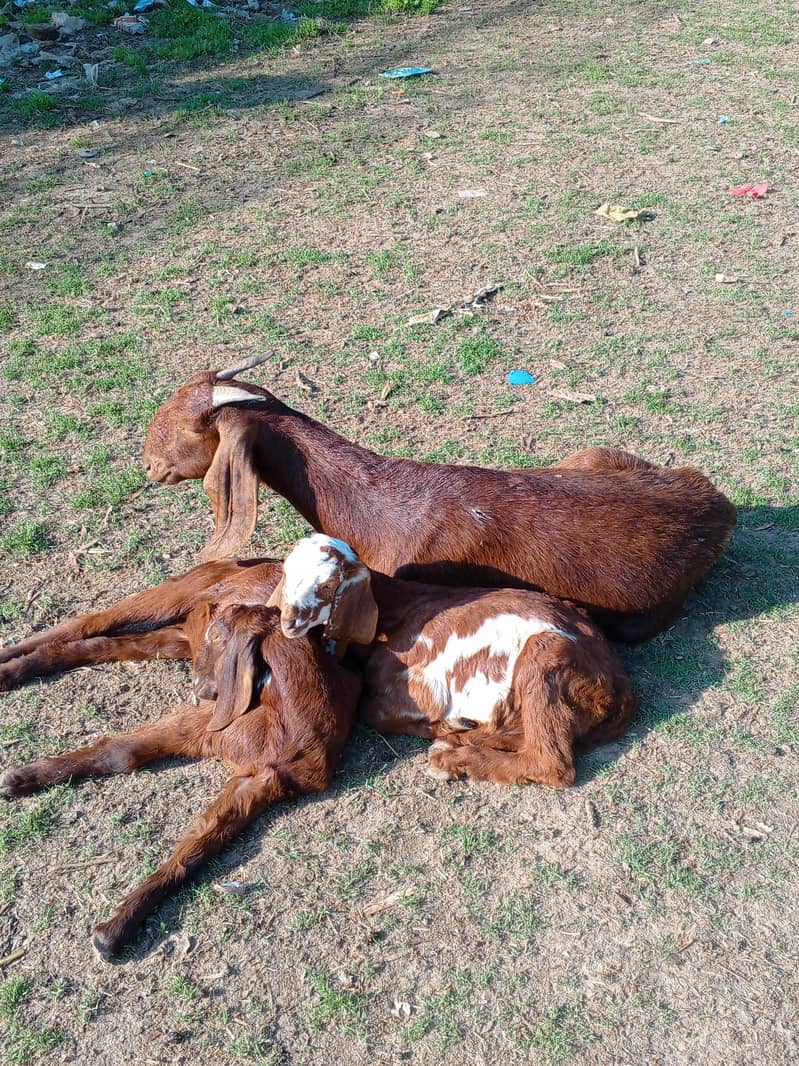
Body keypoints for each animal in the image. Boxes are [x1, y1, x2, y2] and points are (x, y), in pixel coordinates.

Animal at [0, 598, 361, 958]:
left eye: (217, 635)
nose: (198, 685)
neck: (285, 722)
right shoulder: (204, 725)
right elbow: (121, 753)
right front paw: (19, 778)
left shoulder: (261, 781)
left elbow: (198, 846)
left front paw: (116, 928)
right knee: (94, 624)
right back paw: (12, 669)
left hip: (177, 639)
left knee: (120, 643)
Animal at [269, 534, 638, 788]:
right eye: (287, 573)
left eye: (329, 586)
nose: (289, 619)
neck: (392, 611)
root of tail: (619, 684)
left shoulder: (418, 687)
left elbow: (373, 711)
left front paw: (438, 726)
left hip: (544, 655)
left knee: (552, 763)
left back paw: (452, 756)